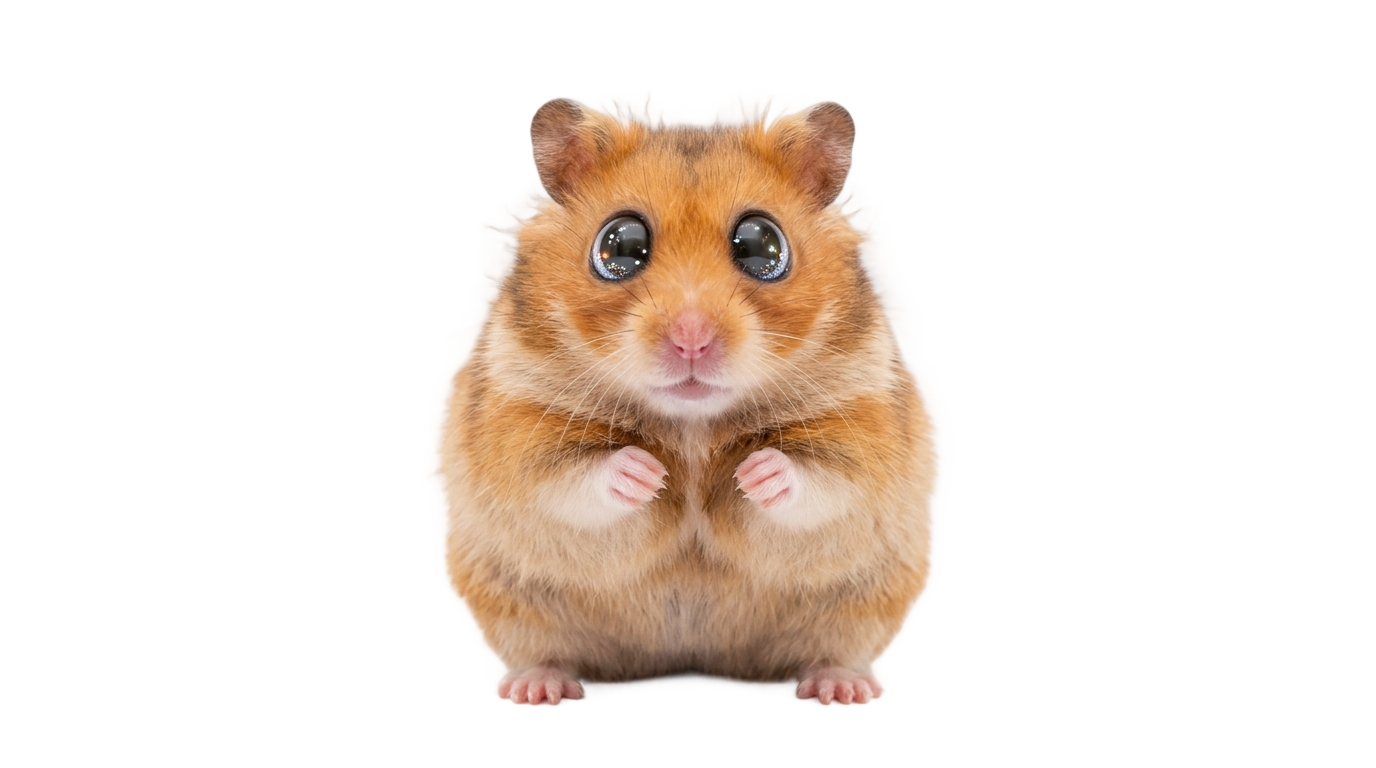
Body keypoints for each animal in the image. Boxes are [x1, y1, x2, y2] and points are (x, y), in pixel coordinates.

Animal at [440, 99, 931, 703]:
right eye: (620, 245)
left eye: (762, 245)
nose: (691, 339)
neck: (692, 422)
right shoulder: (514, 423)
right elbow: (568, 475)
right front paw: (647, 473)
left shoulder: (866, 425)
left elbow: (824, 477)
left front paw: (753, 472)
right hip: (512, 605)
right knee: (548, 654)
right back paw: (539, 691)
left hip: (863, 604)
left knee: (831, 654)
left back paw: (843, 690)